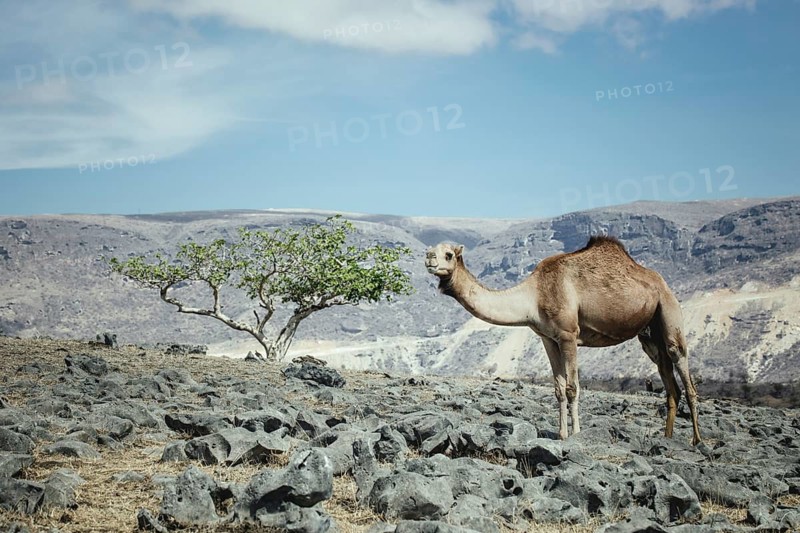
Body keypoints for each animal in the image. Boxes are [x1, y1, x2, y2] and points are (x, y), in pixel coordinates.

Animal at [425, 236, 701, 445]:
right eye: (430, 251)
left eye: (448, 254)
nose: (428, 258)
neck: (533, 296)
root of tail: (661, 282)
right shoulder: (548, 338)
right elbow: (558, 388)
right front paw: (561, 434)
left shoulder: (569, 335)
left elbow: (572, 387)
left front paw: (576, 434)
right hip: (649, 334)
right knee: (667, 375)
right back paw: (667, 438)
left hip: (668, 309)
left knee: (681, 364)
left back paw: (696, 441)